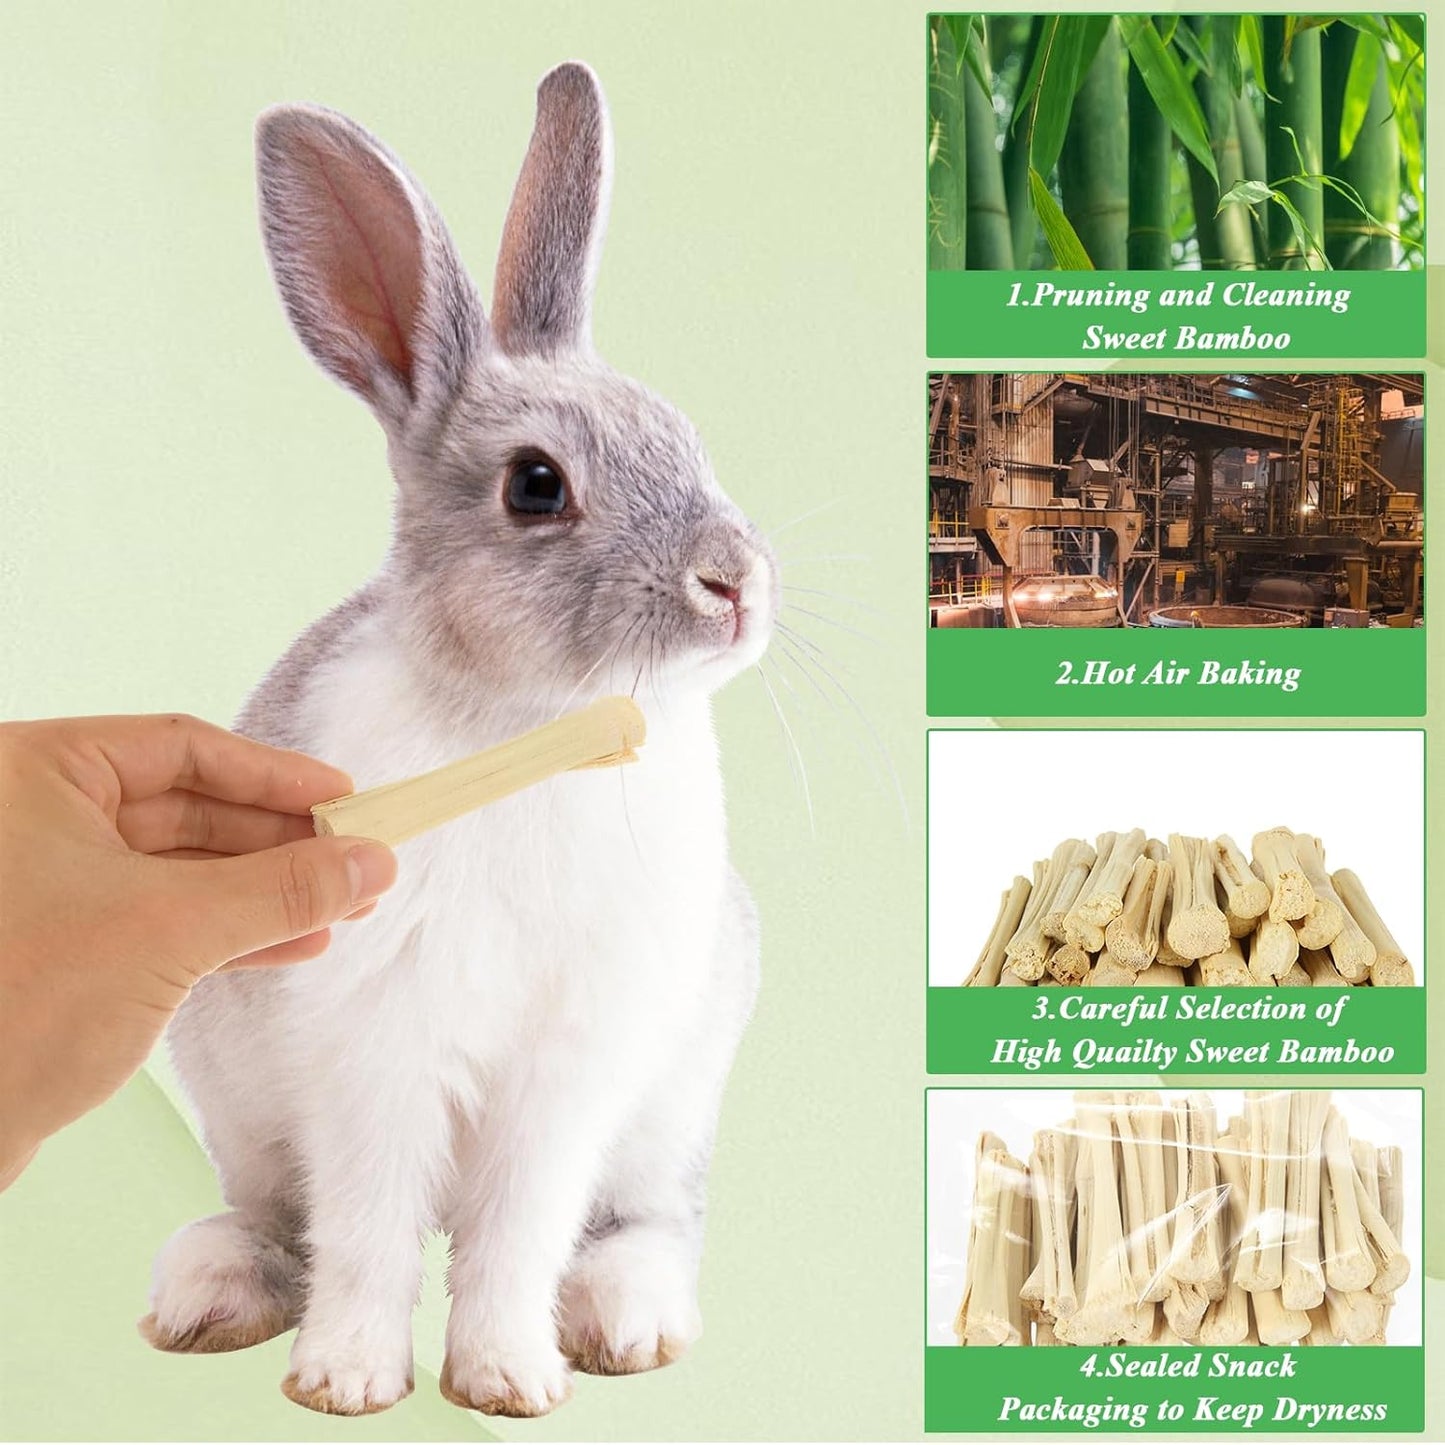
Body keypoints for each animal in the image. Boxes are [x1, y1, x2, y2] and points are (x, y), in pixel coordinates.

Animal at [138, 62, 776, 1419]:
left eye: (685, 435)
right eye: (535, 484)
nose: (735, 583)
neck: (531, 725)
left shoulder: (568, 1068)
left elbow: (518, 1229)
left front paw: (507, 1379)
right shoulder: (371, 1050)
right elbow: (370, 1227)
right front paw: (346, 1379)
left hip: (667, 1107)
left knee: (645, 1221)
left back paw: (626, 1321)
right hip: (243, 1105)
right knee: (279, 1217)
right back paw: (208, 1295)